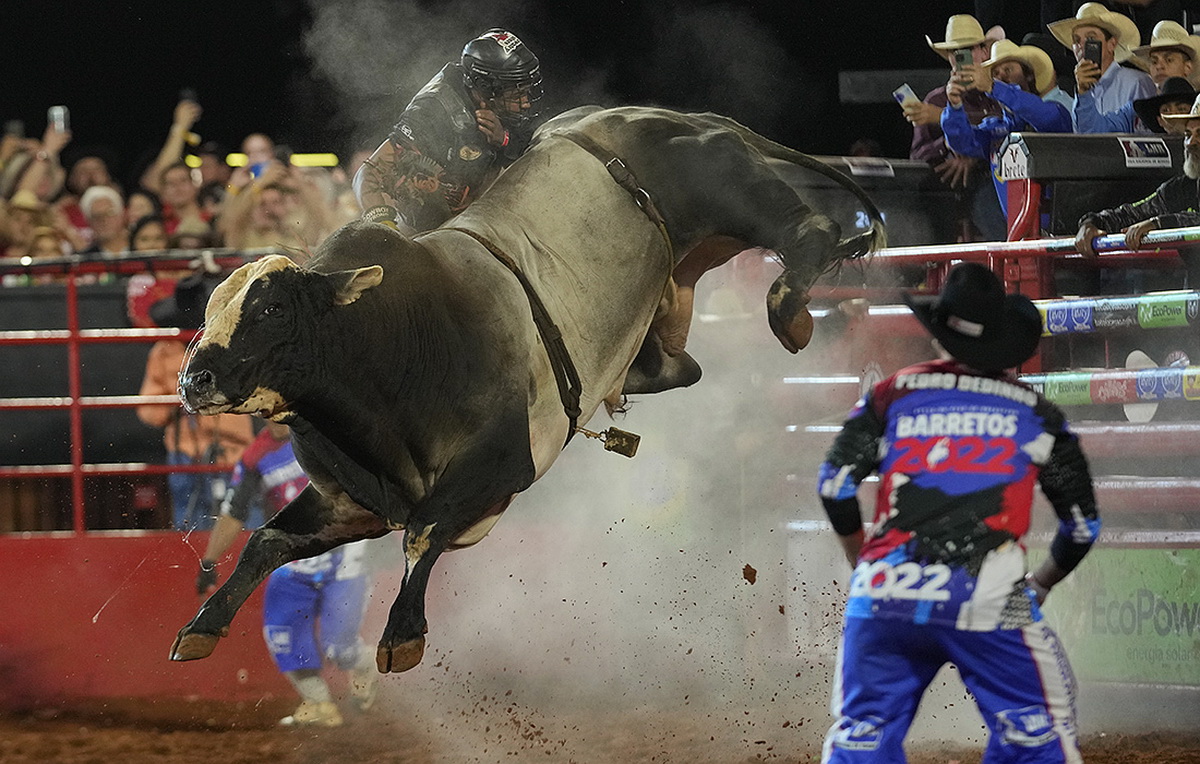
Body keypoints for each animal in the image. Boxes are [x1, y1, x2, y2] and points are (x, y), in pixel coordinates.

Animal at [169, 105, 883, 671]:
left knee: (807, 230)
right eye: (211, 308)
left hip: (726, 184)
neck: (392, 345)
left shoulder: (503, 460)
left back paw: (789, 309)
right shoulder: (353, 501)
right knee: (678, 364)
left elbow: (423, 532)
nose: (194, 378)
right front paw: (201, 624)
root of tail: (678, 116)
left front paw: (402, 635)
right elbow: (266, 540)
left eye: (272, 309)